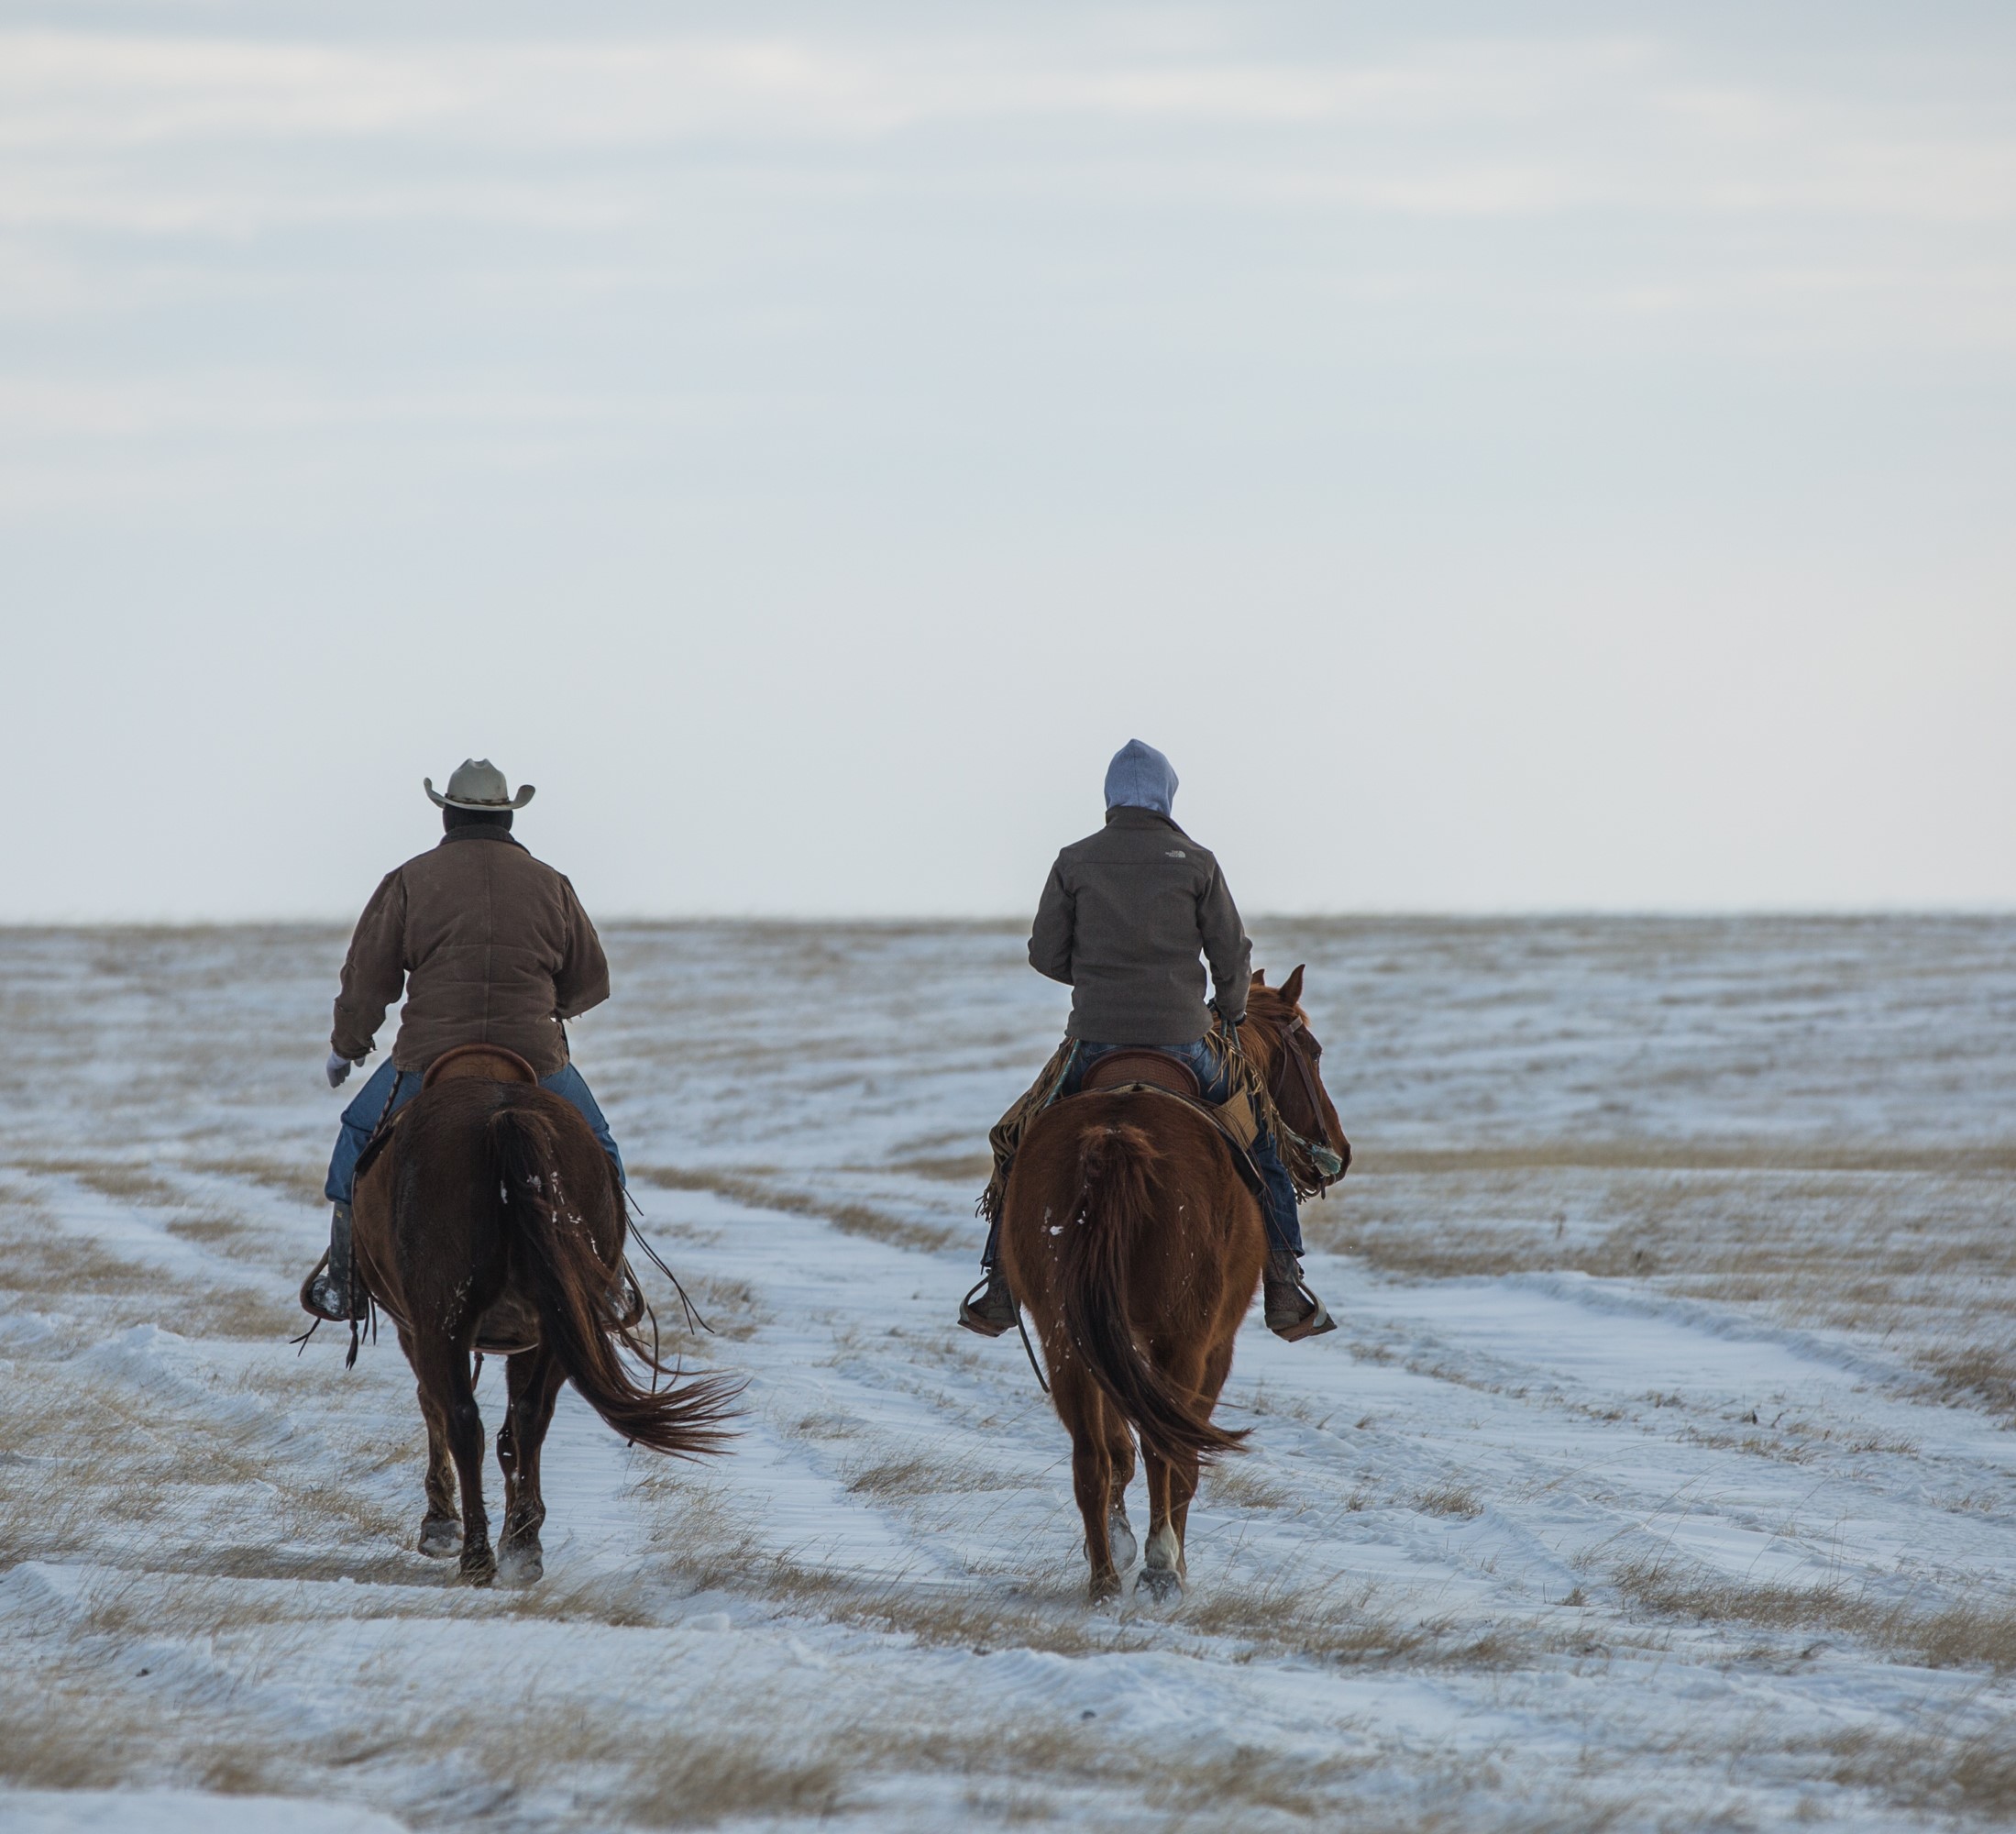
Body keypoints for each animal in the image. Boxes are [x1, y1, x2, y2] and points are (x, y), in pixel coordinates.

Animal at [350, 1055, 737, 1587]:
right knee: (527, 1418)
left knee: (462, 1419)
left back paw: (476, 1554)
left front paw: (439, 1525)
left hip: (441, 1320)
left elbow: (434, 1405)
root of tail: (504, 1117)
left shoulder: (415, 1328)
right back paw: (520, 1547)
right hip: (559, 1320)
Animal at [999, 967, 1346, 1604]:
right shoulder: (1214, 1346)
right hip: (1181, 1337)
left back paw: (1105, 1577)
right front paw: (1170, 1562)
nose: (1339, 1150)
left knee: (1092, 1457)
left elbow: (1119, 1446)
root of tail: (1115, 1137)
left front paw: (1122, 1541)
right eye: (1311, 1051)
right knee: (1170, 1447)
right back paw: (1160, 1571)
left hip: (1064, 1335)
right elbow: (1178, 1456)